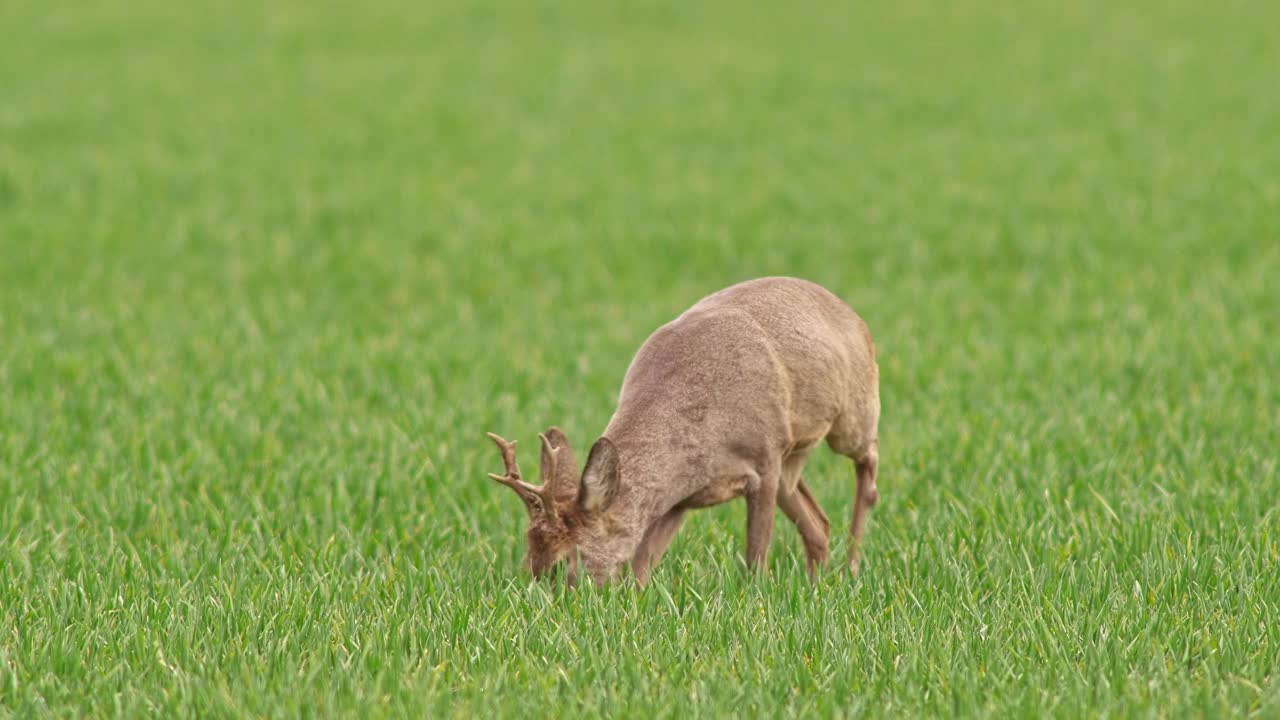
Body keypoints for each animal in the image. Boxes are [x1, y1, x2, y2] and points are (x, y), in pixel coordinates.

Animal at [481, 274, 880, 584]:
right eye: (529, 559)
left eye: (563, 562)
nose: (543, 598)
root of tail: (851, 313)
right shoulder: (678, 497)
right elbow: (641, 565)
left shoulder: (765, 457)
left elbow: (755, 555)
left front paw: (754, 593)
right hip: (794, 458)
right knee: (818, 523)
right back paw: (819, 582)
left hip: (852, 415)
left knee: (868, 461)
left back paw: (853, 565)